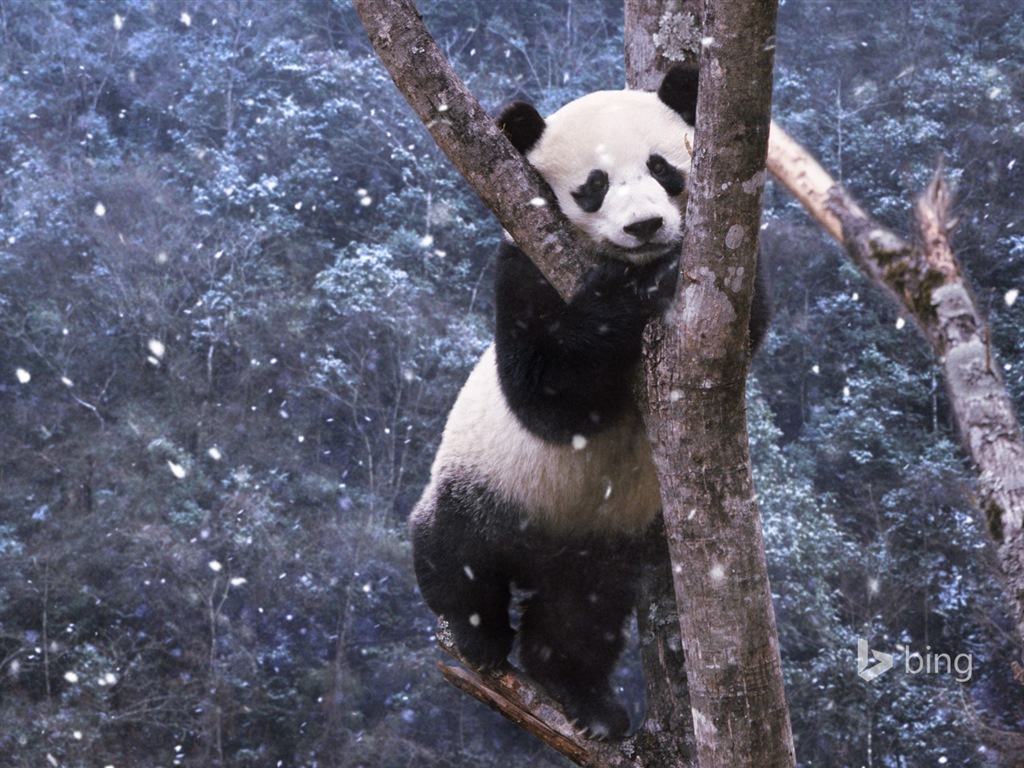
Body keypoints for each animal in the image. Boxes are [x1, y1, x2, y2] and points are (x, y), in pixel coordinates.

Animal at [409, 69, 770, 741]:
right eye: (594, 187)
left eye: (663, 168)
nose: (646, 226)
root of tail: (538, 552)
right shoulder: (523, 269)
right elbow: (546, 394)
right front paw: (628, 292)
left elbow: (746, 319)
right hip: (485, 476)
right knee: (453, 549)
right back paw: (479, 638)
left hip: (597, 544)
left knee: (580, 617)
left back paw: (588, 703)